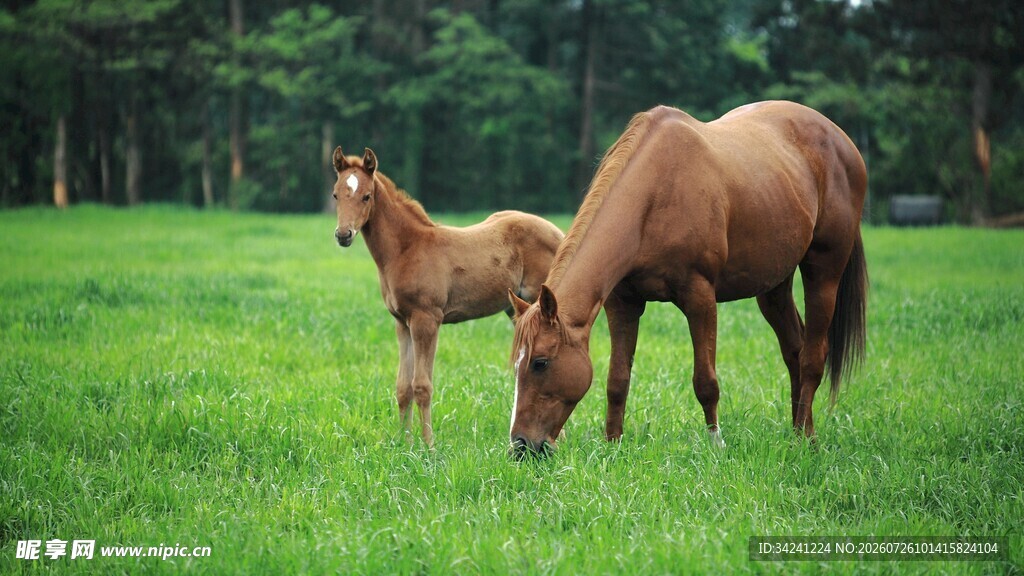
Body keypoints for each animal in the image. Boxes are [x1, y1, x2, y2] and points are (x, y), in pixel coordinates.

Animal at [332, 147, 564, 446]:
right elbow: (403, 387)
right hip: (517, 310)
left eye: (366, 196)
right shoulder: (402, 323)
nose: (343, 235)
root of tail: (559, 233)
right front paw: (404, 444)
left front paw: (429, 446)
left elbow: (422, 385)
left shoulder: (426, 320)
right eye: (336, 194)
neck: (407, 249)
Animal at [507, 101, 868, 456]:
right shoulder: (623, 303)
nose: (521, 446)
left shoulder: (700, 298)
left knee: (812, 358)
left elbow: (705, 382)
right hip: (773, 286)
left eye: (540, 362)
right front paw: (613, 445)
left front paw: (716, 445)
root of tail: (841, 140)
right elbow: (617, 379)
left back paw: (807, 440)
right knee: (794, 351)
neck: (654, 196)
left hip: (824, 272)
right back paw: (795, 434)